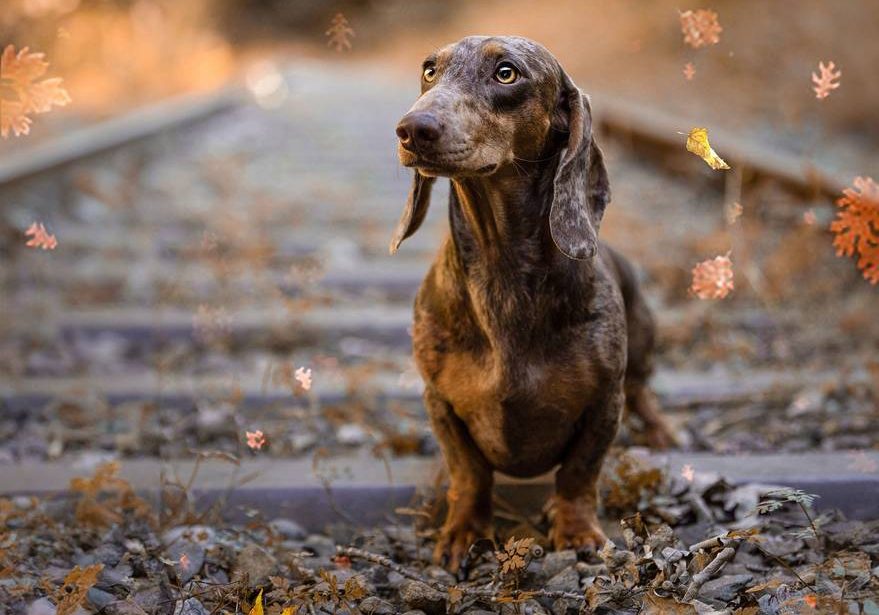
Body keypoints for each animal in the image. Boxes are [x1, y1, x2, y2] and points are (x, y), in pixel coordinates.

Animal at [390, 36, 672, 572]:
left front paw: (577, 532)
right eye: (429, 69)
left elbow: (579, 473)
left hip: (644, 342)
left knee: (644, 390)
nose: (412, 128)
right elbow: (469, 473)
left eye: (506, 73)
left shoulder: (604, 402)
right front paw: (463, 532)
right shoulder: (441, 402)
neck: (503, 274)